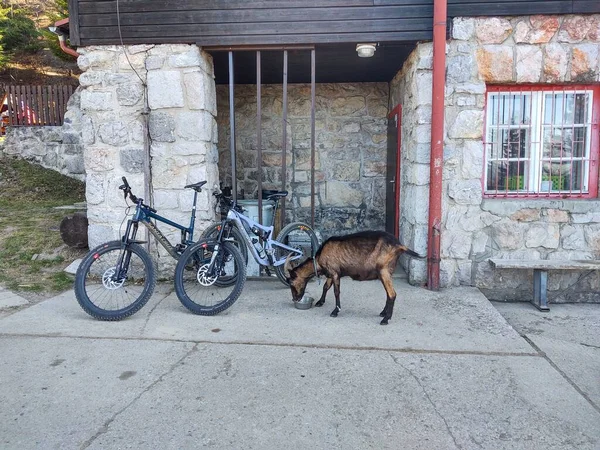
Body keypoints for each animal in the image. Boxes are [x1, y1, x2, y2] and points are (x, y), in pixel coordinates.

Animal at [284, 232, 422, 324]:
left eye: (291, 282)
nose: (295, 299)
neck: (318, 259)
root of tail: (399, 245)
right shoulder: (332, 273)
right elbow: (325, 287)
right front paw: (320, 302)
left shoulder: (335, 273)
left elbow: (336, 292)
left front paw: (335, 311)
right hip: (388, 272)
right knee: (388, 293)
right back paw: (383, 313)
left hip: (384, 271)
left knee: (392, 294)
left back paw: (385, 319)